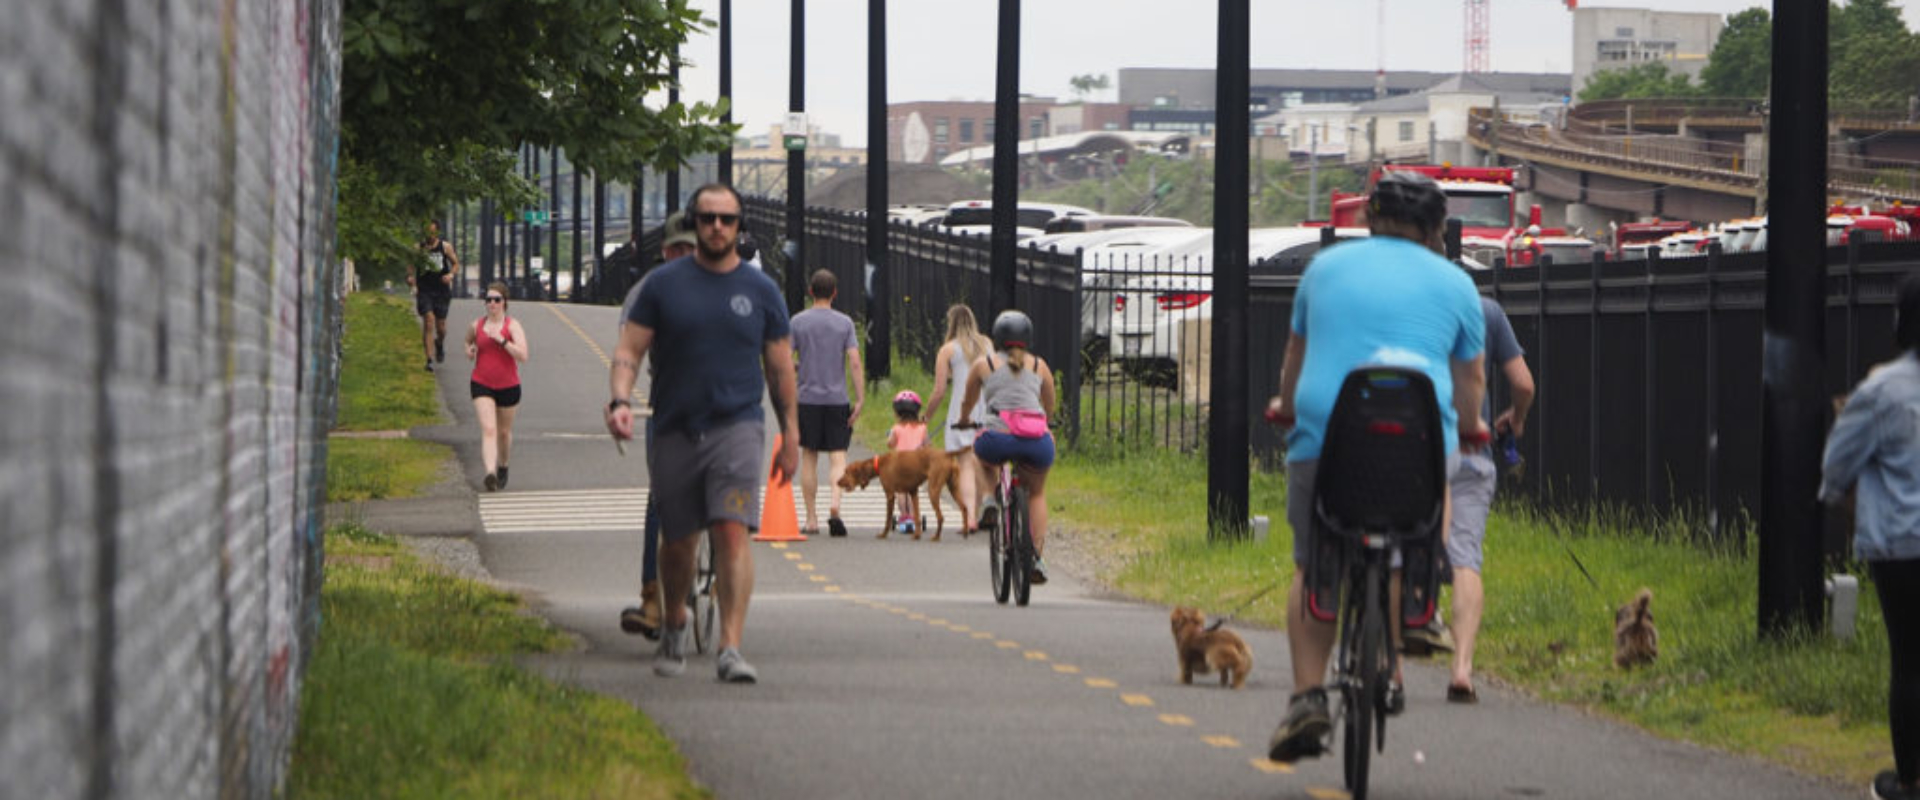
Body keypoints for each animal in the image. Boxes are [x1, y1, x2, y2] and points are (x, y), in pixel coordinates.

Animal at [837, 445, 975, 541]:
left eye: (846, 471)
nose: (837, 482)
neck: (879, 463)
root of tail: (947, 453)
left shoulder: (890, 495)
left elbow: (887, 519)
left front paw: (883, 534)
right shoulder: (913, 492)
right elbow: (917, 517)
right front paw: (917, 535)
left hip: (933, 490)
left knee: (941, 517)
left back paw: (936, 537)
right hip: (953, 488)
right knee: (964, 508)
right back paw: (965, 532)